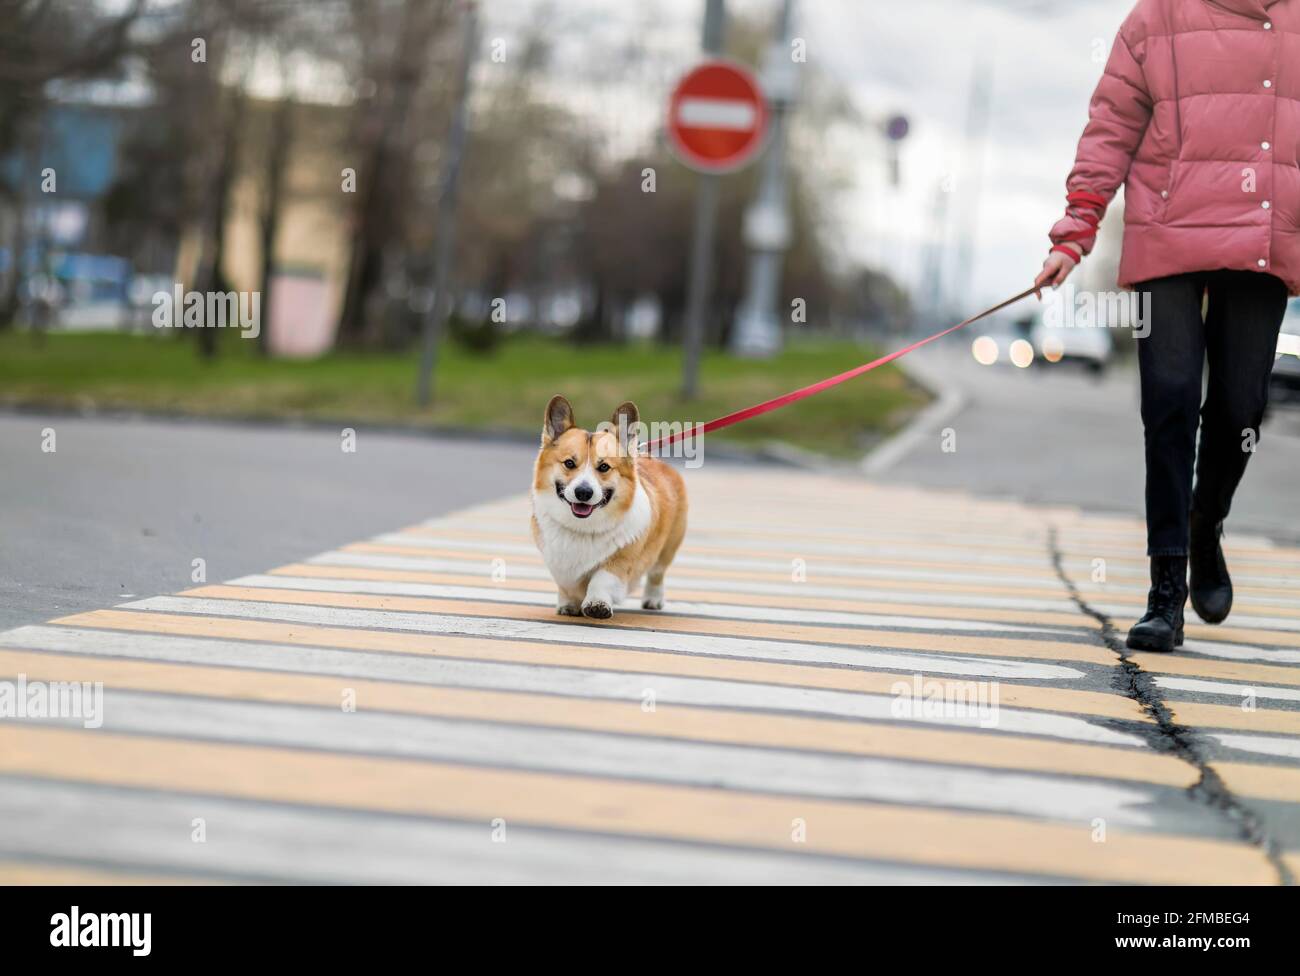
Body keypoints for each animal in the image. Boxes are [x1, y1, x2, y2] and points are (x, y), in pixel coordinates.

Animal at [530, 395, 691, 618]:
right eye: (569, 463)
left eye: (604, 467)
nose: (583, 492)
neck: (582, 528)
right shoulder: (558, 563)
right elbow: (566, 585)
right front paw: (567, 604)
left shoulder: (621, 558)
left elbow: (603, 579)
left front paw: (597, 604)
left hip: (667, 549)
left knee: (657, 573)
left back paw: (653, 600)